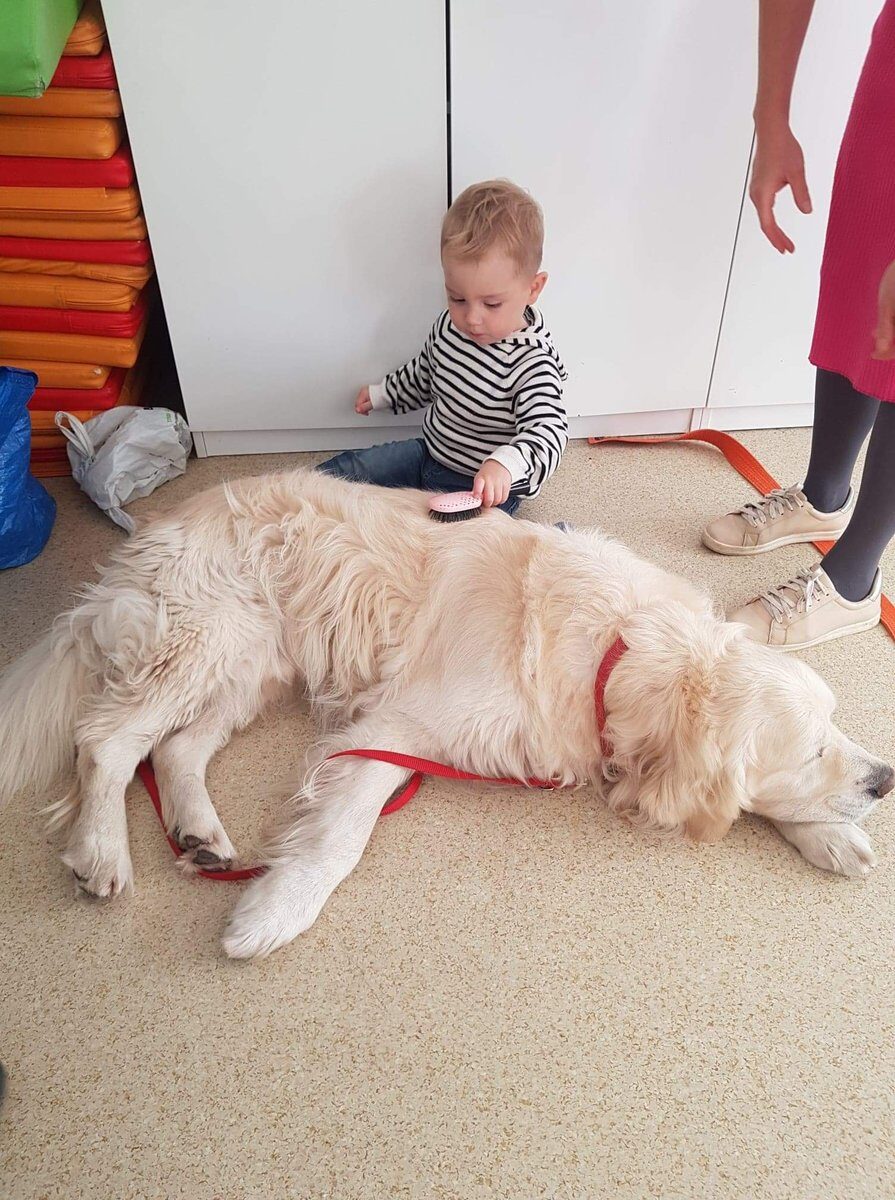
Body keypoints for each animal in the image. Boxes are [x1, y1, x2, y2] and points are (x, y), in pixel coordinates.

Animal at [0, 469, 891, 959]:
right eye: (808, 750)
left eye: (833, 728)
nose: (885, 780)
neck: (621, 650)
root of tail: (146, 534)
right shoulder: (394, 731)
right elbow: (339, 841)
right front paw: (273, 913)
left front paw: (833, 836)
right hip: (205, 639)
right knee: (107, 741)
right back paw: (101, 853)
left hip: (251, 665)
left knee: (175, 750)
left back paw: (202, 837)